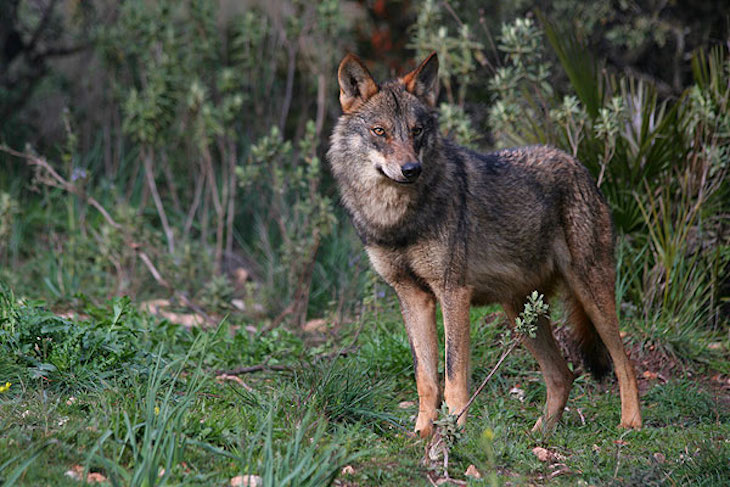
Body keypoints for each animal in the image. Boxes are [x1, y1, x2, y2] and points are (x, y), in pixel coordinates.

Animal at [327, 52, 642, 437]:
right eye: (379, 131)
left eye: (417, 131)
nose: (411, 169)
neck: (396, 219)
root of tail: (580, 166)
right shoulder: (413, 297)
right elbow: (425, 378)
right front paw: (422, 435)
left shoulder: (453, 292)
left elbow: (453, 376)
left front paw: (453, 433)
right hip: (521, 313)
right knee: (562, 375)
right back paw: (540, 434)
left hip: (589, 292)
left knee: (623, 362)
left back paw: (630, 424)